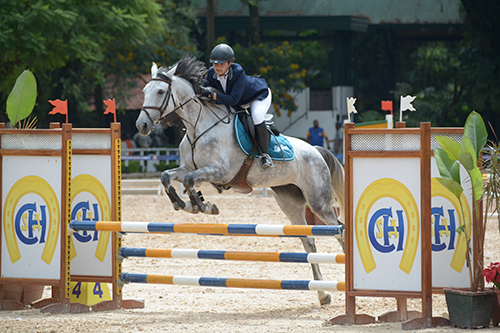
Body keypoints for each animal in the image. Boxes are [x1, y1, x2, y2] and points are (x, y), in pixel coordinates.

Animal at [135, 55, 346, 306]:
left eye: (160, 91)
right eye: (144, 91)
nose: (141, 126)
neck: (198, 126)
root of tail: (315, 150)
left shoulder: (220, 172)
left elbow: (188, 180)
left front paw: (203, 206)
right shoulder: (190, 167)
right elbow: (168, 176)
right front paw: (186, 203)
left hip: (318, 202)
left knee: (339, 230)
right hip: (290, 204)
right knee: (309, 241)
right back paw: (323, 294)